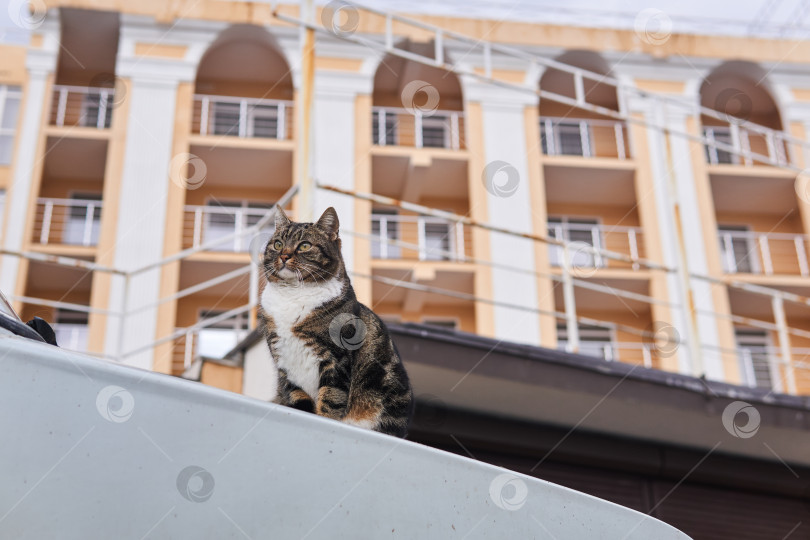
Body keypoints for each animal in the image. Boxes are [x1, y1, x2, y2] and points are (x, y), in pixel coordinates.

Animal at [258, 207, 410, 438]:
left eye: (304, 245)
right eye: (277, 244)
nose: (284, 255)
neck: (292, 294)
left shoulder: (336, 358)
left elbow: (331, 399)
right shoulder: (283, 361)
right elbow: (297, 398)